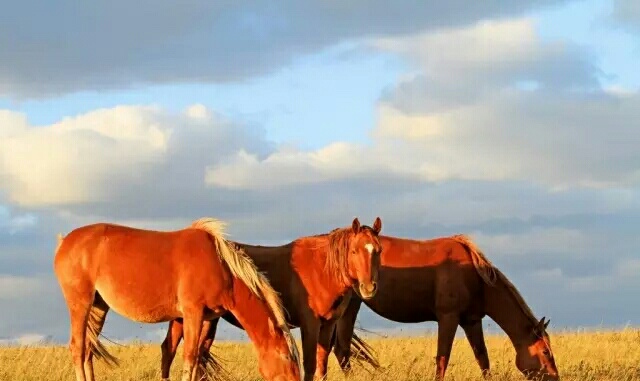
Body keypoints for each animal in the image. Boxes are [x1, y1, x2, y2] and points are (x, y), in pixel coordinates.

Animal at [51, 217, 302, 380]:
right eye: (287, 357)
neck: (220, 266)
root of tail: (65, 241)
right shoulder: (193, 313)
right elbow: (189, 356)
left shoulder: (199, 318)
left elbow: (182, 356)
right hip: (80, 303)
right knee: (77, 347)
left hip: (98, 307)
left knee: (88, 350)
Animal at [159, 217, 382, 380]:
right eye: (354, 251)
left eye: (378, 251)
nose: (369, 287)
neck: (320, 270)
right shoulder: (310, 324)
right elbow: (310, 365)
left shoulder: (328, 324)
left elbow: (321, 365)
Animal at [328, 235, 556, 380]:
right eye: (545, 351)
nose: (555, 378)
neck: (474, 277)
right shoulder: (448, 318)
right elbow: (442, 359)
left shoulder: (471, 321)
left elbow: (483, 359)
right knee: (342, 350)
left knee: (340, 350)